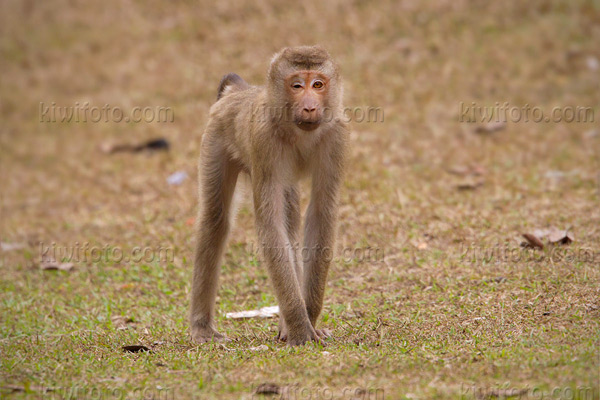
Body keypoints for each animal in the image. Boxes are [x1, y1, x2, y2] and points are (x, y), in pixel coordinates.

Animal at [188, 45, 346, 346]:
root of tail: (239, 92)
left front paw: (308, 318)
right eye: (296, 86)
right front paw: (300, 328)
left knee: (290, 222)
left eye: (317, 85)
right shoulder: (264, 139)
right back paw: (201, 327)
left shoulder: (337, 135)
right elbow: (270, 225)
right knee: (215, 220)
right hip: (215, 139)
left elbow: (321, 213)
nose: (310, 106)